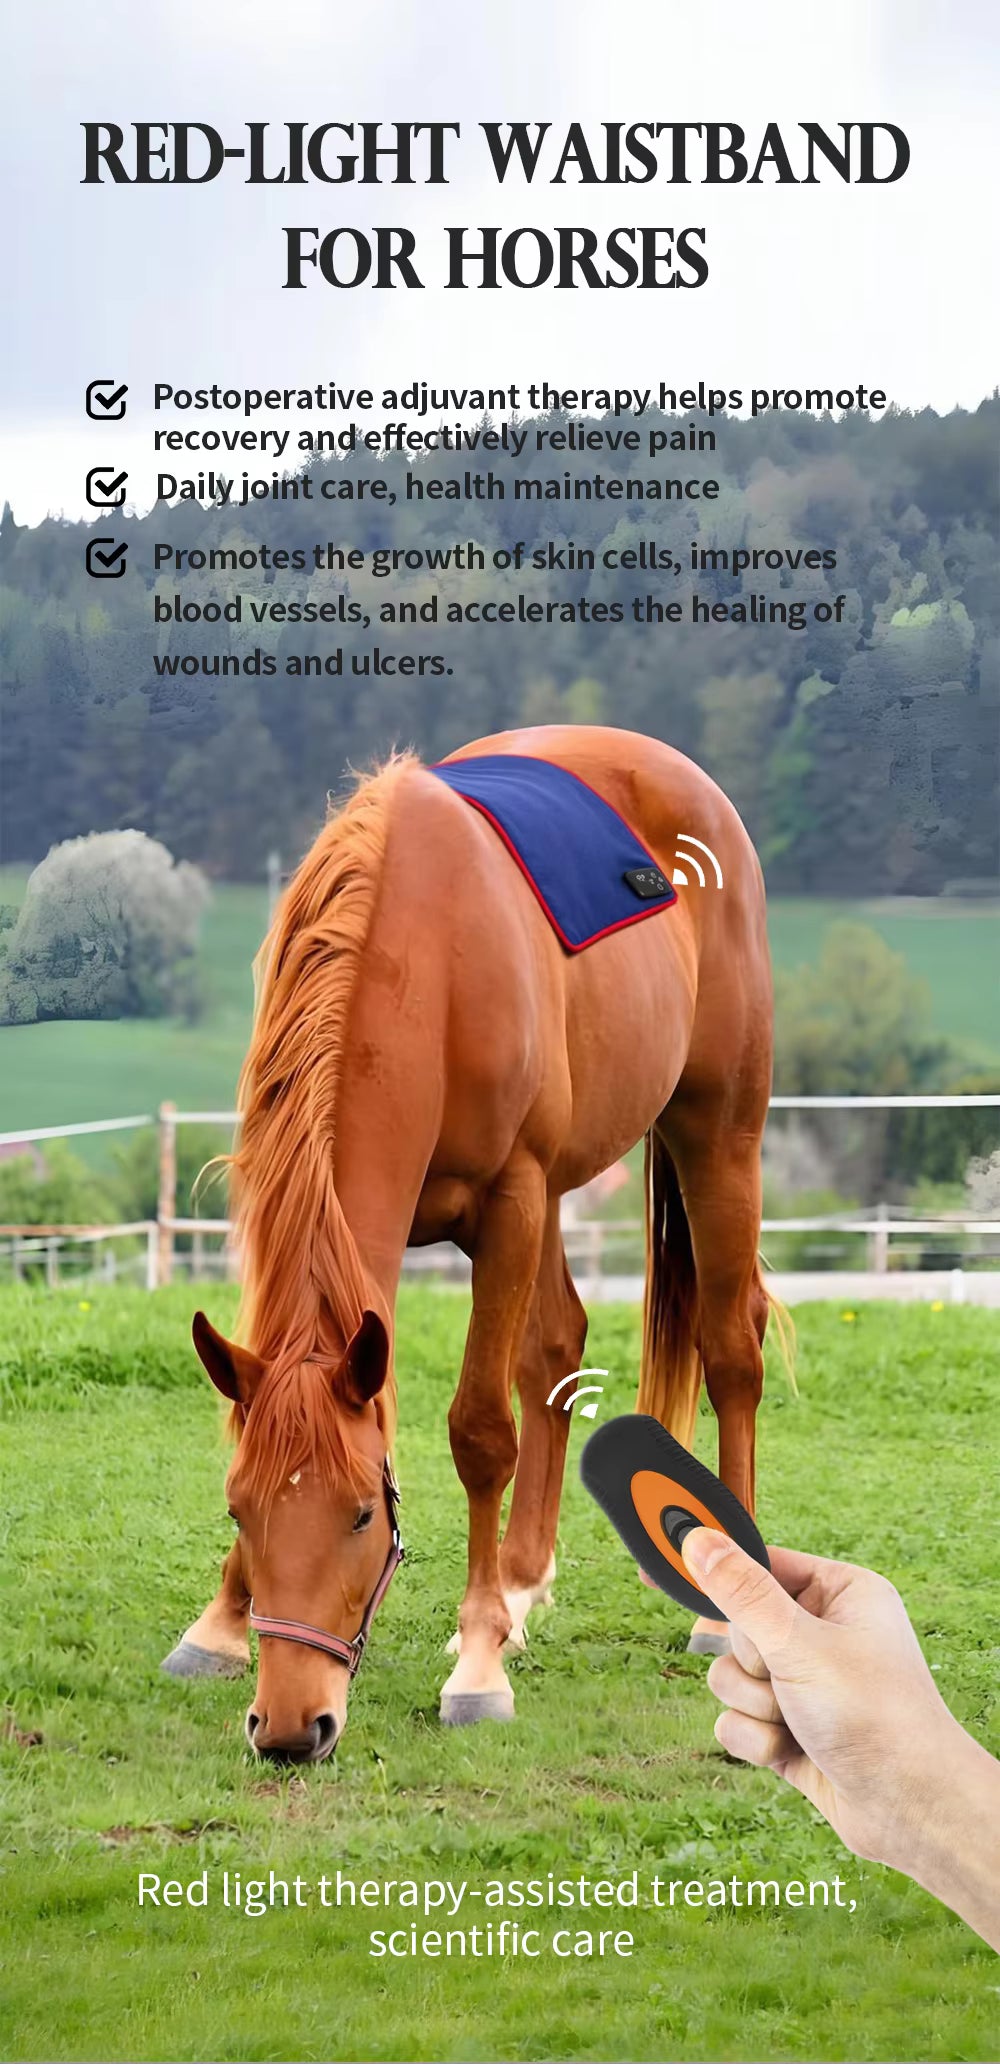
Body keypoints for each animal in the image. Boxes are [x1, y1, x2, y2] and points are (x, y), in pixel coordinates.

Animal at [162, 724, 778, 1763]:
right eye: (239, 1509)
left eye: (362, 1514)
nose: (288, 1728)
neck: (424, 961)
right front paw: (218, 1623)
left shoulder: (510, 1202)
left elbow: (481, 1432)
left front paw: (479, 1668)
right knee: (558, 1347)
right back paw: (523, 1589)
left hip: (717, 1134)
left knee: (732, 1352)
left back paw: (720, 1611)